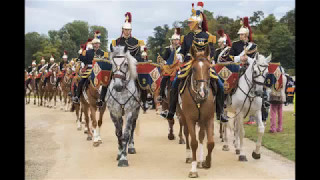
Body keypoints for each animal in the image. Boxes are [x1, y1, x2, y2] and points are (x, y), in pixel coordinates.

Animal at [179, 44, 216, 177]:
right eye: (194, 69)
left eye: (209, 68)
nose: (202, 91)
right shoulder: (190, 119)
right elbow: (194, 142)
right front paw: (193, 170)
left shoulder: (209, 118)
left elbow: (210, 142)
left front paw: (206, 162)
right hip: (183, 116)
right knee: (186, 134)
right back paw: (189, 156)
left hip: (201, 120)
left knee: (201, 137)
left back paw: (200, 161)